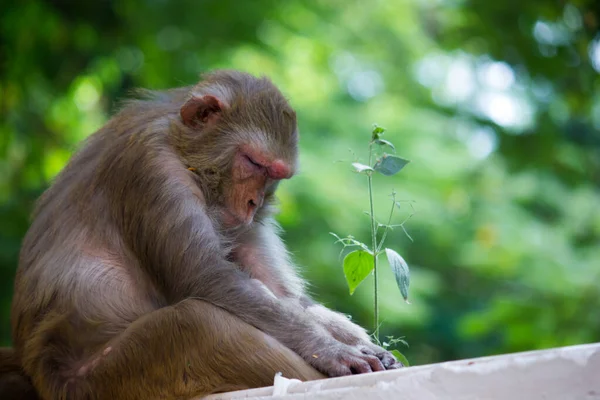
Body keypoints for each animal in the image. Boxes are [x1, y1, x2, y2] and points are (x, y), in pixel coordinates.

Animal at [1, 70, 404, 398]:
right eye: (253, 163)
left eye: (275, 175)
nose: (255, 203)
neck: (179, 145)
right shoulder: (154, 168)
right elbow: (207, 277)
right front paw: (334, 351)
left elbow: (280, 294)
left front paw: (363, 344)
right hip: (107, 380)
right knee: (197, 323)